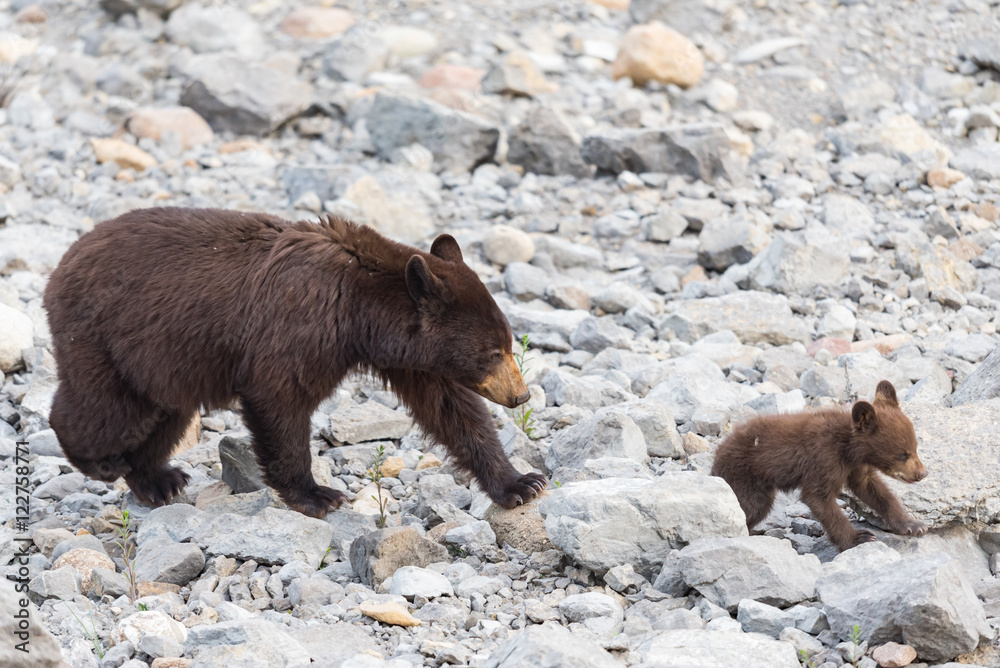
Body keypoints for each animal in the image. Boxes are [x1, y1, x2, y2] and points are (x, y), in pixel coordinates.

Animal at [43, 207, 548, 517]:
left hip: (170, 363)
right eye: (493, 352)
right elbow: (280, 399)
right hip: (106, 336)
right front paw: (316, 494)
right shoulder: (298, 326)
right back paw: (100, 460)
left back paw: (158, 479)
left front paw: (521, 483)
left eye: (508, 344)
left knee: (165, 414)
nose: (521, 395)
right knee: (105, 411)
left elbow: (453, 411)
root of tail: (62, 261)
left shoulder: (412, 360)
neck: (358, 307)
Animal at [710, 380, 928, 551]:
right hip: (743, 477)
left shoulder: (857, 467)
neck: (848, 448)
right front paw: (858, 538)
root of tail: (718, 453)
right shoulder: (822, 459)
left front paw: (913, 524)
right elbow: (818, 497)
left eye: (915, 447)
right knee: (749, 506)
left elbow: (876, 491)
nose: (922, 473)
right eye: (902, 454)